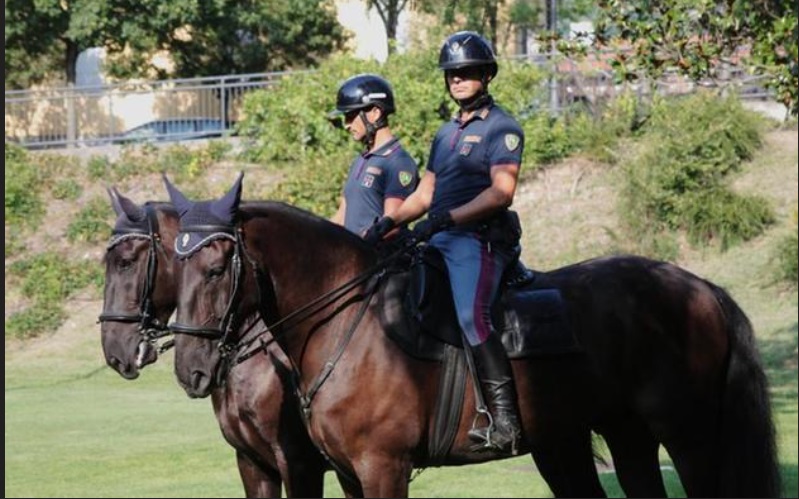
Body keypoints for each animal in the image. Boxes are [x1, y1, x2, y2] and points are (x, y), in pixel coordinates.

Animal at [165, 173, 780, 498]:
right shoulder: (343, 471)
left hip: (688, 435)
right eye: (176, 267)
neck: (348, 322)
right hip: (623, 435)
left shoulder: (380, 467)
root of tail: (699, 287)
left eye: (215, 269)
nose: (191, 369)